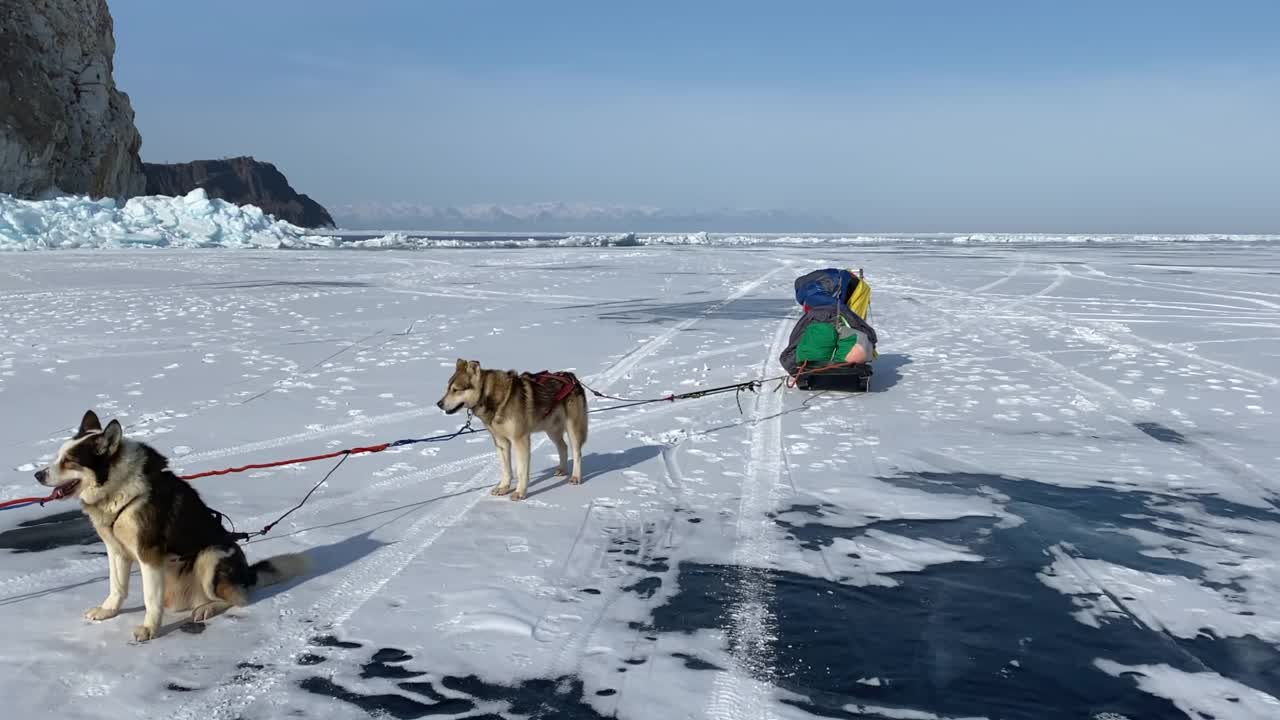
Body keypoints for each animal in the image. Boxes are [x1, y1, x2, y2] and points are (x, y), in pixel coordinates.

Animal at [35, 409, 307, 638]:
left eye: (69, 460)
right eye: (58, 456)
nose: (37, 475)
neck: (118, 488)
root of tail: (247, 573)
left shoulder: (148, 554)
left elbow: (149, 599)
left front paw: (149, 628)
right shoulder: (116, 550)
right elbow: (117, 587)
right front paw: (108, 611)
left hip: (210, 556)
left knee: (238, 598)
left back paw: (208, 608)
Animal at [435, 358, 586, 499]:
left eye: (456, 389)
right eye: (448, 388)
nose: (439, 404)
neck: (496, 398)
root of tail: (571, 377)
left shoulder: (520, 440)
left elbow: (521, 471)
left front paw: (520, 493)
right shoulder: (501, 442)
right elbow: (506, 469)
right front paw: (503, 488)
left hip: (573, 428)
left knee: (577, 453)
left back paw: (575, 477)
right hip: (551, 430)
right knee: (563, 447)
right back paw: (562, 470)